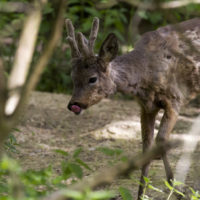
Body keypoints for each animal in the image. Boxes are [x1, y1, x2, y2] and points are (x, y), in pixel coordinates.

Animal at [65, 17, 200, 198]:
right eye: (73, 77)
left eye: (92, 78)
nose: (74, 104)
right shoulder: (146, 107)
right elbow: (146, 146)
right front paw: (141, 195)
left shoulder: (175, 98)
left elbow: (161, 141)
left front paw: (178, 191)